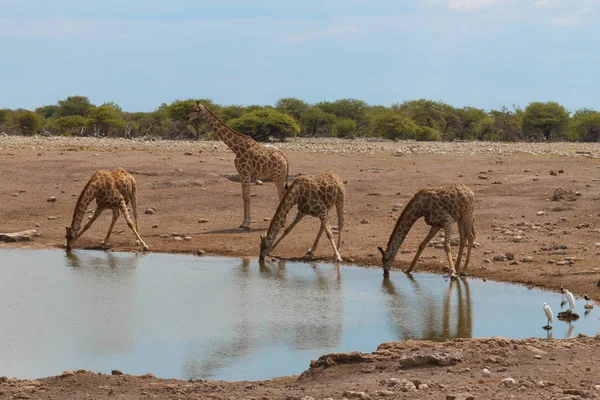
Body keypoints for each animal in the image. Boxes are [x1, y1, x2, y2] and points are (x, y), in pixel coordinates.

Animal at [189, 101, 290, 230]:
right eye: (192, 109)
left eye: (196, 110)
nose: (187, 117)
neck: (236, 148)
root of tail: (285, 159)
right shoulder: (242, 174)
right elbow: (244, 196)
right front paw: (243, 223)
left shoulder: (245, 173)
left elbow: (247, 197)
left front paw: (247, 223)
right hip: (277, 176)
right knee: (283, 194)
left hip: (278, 177)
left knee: (282, 196)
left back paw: (282, 223)